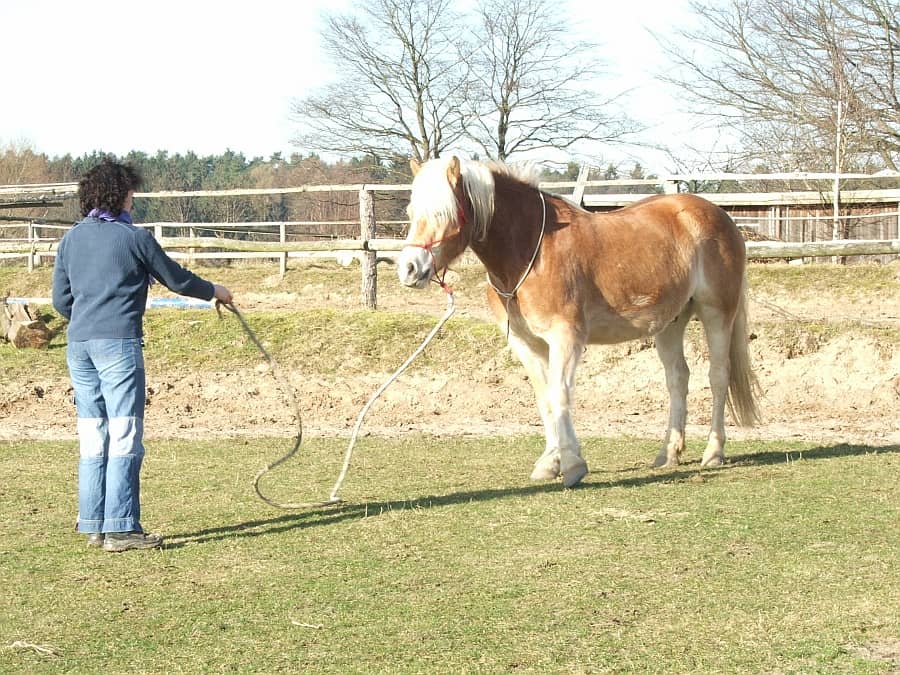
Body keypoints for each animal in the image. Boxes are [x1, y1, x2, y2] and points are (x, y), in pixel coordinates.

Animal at [398, 156, 756, 488]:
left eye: (444, 213)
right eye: (411, 212)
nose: (409, 269)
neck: (530, 250)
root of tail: (719, 216)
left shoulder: (566, 337)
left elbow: (560, 394)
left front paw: (572, 465)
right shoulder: (527, 343)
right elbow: (544, 398)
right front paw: (549, 462)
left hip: (717, 312)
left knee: (718, 377)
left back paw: (714, 452)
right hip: (671, 323)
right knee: (678, 379)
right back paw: (668, 454)